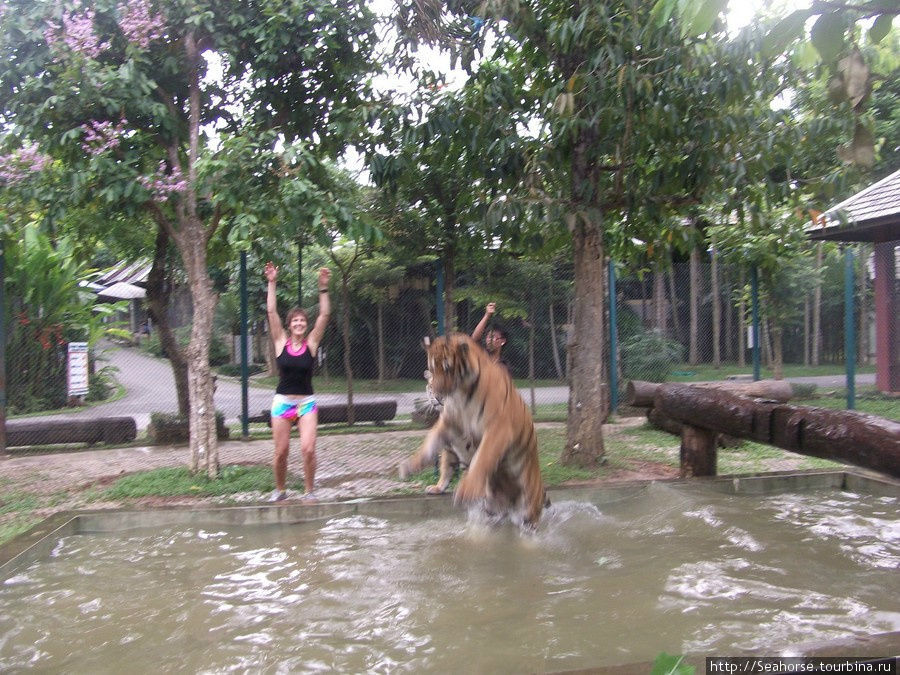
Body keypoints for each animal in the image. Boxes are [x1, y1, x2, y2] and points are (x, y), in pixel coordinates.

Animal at [400, 332, 548, 528]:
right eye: (432, 370)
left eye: (447, 368)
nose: (438, 398)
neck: (461, 394)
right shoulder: (448, 425)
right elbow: (433, 449)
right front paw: (411, 467)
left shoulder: (497, 428)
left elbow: (482, 458)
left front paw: (467, 489)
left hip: (528, 505)